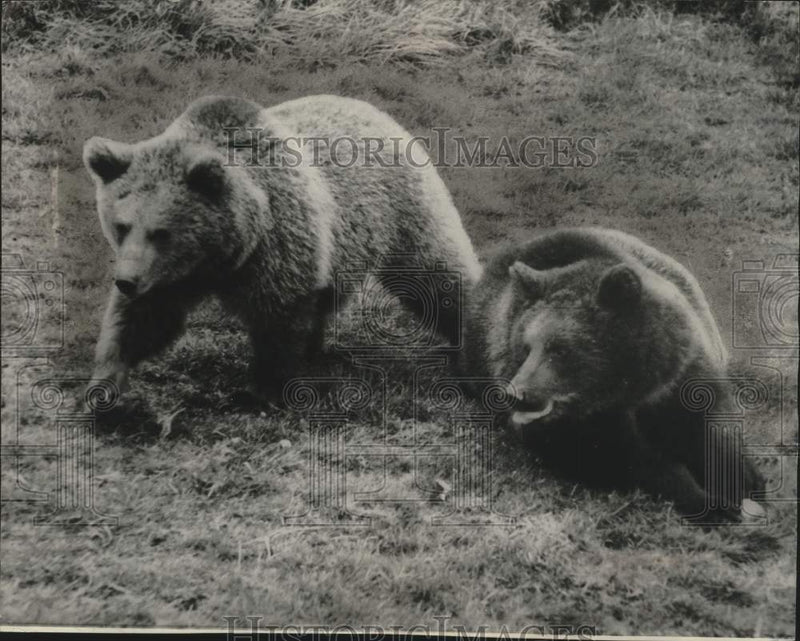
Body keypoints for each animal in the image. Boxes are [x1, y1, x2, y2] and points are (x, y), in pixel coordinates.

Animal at [83, 94, 481, 402]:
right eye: (121, 225)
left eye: (161, 232)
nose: (126, 281)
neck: (222, 255)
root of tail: (371, 108)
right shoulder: (171, 276)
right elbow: (144, 319)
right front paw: (105, 385)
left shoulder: (277, 244)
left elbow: (278, 318)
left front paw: (263, 390)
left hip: (403, 210)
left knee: (436, 276)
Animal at [458, 227, 765, 521]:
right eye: (525, 347)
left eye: (561, 349)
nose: (517, 394)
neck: (632, 388)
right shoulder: (581, 424)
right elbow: (622, 458)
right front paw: (709, 502)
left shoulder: (683, 371)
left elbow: (711, 426)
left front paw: (743, 484)